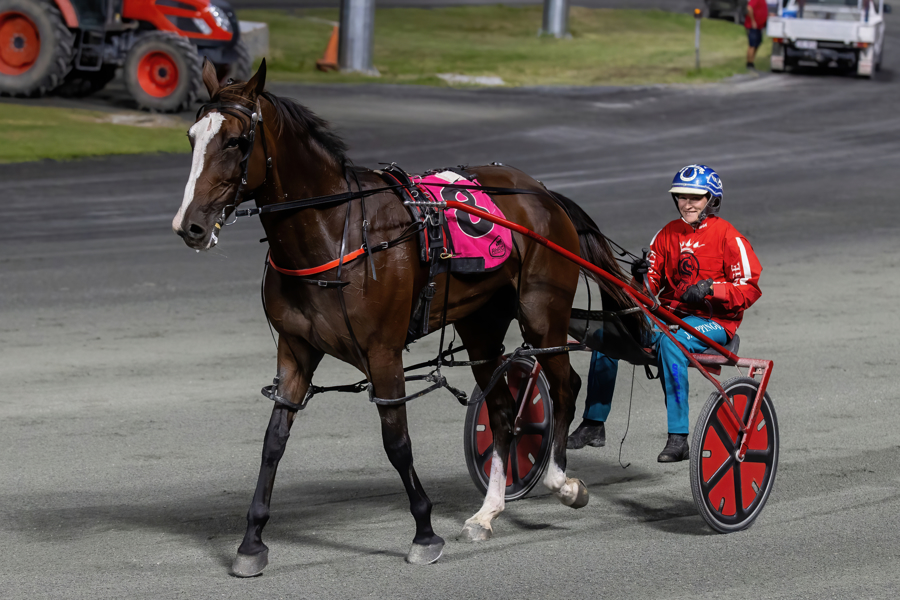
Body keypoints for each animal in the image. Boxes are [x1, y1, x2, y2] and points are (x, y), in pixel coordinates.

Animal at [172, 59, 640, 576]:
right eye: (192, 137)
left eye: (236, 141)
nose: (190, 226)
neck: (335, 232)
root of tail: (542, 193)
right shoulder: (295, 350)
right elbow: (274, 440)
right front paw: (252, 541)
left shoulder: (382, 352)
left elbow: (396, 442)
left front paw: (424, 532)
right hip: (481, 325)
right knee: (501, 410)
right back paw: (488, 511)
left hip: (543, 313)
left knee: (564, 386)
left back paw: (562, 482)